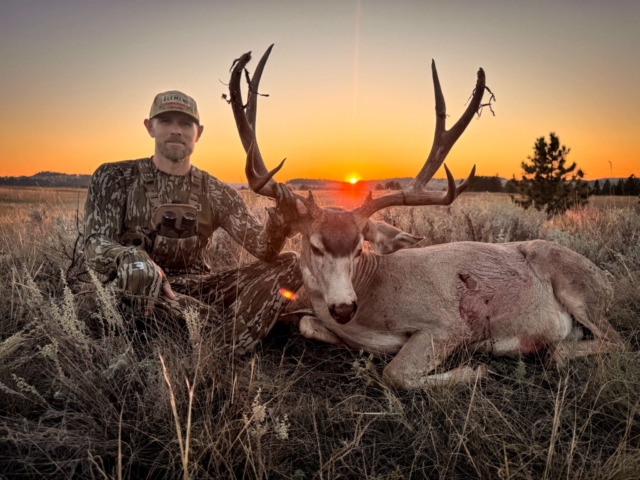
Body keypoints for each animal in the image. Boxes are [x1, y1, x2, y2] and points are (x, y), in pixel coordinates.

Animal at [227, 46, 626, 390]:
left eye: (358, 248)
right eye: (314, 246)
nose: (343, 307)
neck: (372, 297)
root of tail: (607, 281)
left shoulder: (446, 325)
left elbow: (395, 374)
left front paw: (475, 370)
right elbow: (307, 324)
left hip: (579, 289)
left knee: (610, 341)